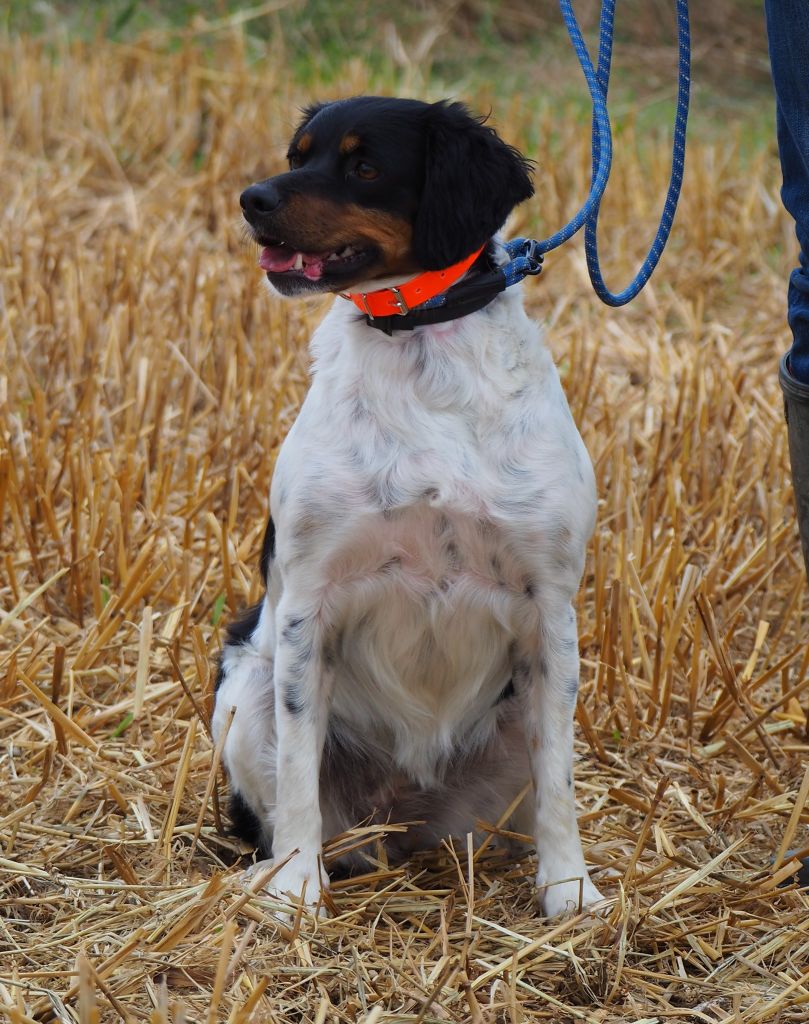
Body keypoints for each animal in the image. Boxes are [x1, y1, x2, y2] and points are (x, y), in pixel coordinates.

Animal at [211, 96, 606, 917]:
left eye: (364, 166)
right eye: (298, 155)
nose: (252, 199)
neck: (421, 345)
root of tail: (400, 813)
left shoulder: (551, 612)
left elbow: (559, 783)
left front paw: (569, 892)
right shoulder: (306, 606)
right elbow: (298, 773)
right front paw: (295, 891)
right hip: (247, 692)